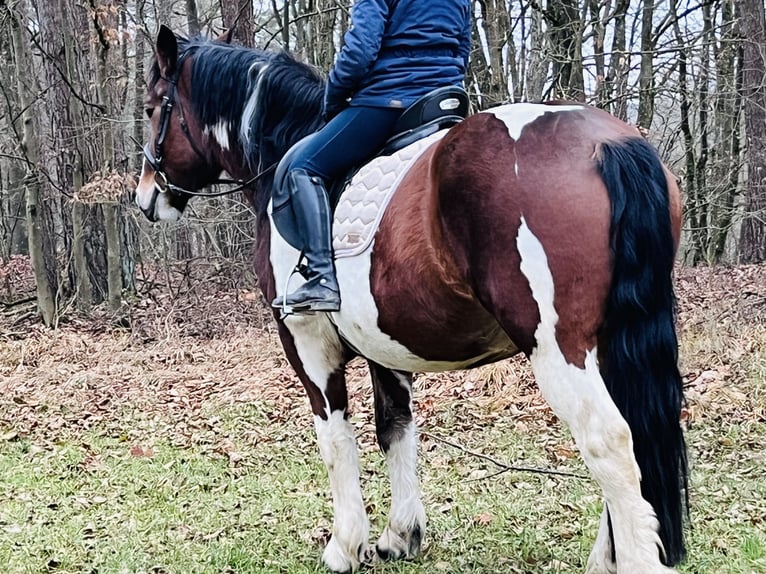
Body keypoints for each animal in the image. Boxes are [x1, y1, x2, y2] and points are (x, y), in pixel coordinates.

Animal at [136, 25, 688, 574]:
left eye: (153, 107)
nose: (145, 198)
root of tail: (606, 142)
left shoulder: (307, 343)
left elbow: (336, 440)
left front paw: (345, 546)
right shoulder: (384, 345)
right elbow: (395, 428)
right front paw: (400, 536)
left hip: (559, 347)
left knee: (609, 441)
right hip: (608, 339)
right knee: (635, 432)